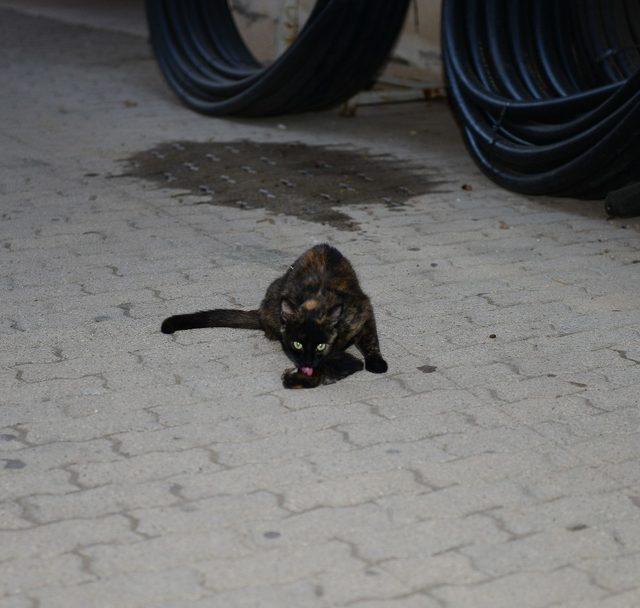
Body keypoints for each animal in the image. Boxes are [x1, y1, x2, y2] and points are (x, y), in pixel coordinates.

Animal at [162, 243, 388, 390]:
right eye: (297, 344)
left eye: (320, 346)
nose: (307, 362)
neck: (318, 299)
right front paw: (304, 377)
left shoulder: (361, 310)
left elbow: (370, 338)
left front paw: (376, 362)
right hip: (274, 300)